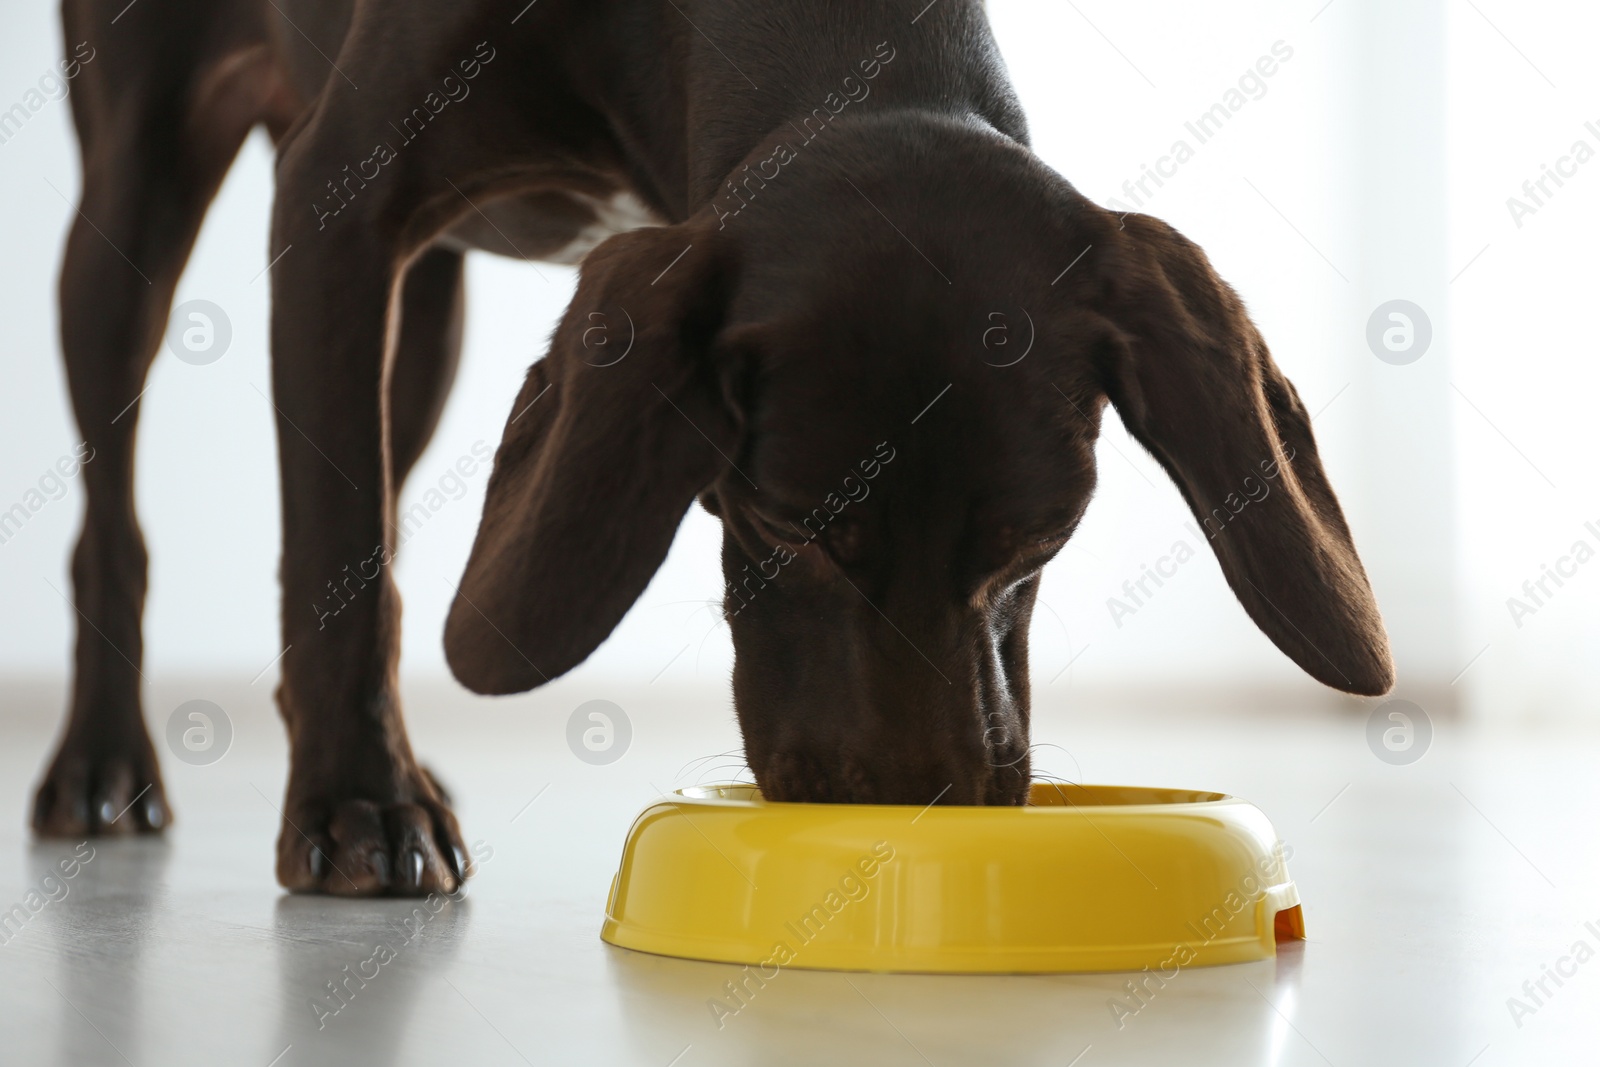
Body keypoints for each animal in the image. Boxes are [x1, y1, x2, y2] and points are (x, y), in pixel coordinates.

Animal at [34, 0, 1388, 895]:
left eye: (1039, 543)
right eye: (789, 527)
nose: (913, 814)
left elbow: (354, 559)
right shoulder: (337, 208)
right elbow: (333, 558)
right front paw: (360, 800)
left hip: (424, 328)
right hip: (132, 204)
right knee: (118, 515)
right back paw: (104, 760)